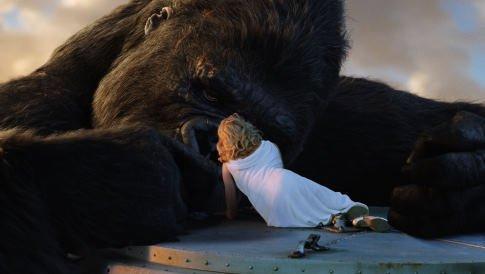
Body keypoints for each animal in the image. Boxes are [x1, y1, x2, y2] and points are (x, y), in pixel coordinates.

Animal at [0, 0, 484, 272]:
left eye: (265, 133)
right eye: (212, 92)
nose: (211, 151)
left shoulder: (340, 116)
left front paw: (460, 177)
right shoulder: (34, 101)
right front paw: (130, 174)